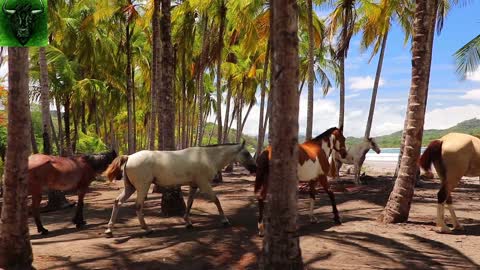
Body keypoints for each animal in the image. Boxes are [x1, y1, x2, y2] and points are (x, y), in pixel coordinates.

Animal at [103, 141, 256, 236]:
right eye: (247, 153)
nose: (255, 168)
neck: (207, 156)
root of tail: (129, 157)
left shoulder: (194, 185)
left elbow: (189, 203)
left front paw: (188, 222)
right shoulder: (204, 184)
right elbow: (216, 200)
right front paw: (224, 220)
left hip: (130, 188)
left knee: (117, 202)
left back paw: (110, 230)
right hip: (142, 187)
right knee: (138, 206)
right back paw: (147, 229)